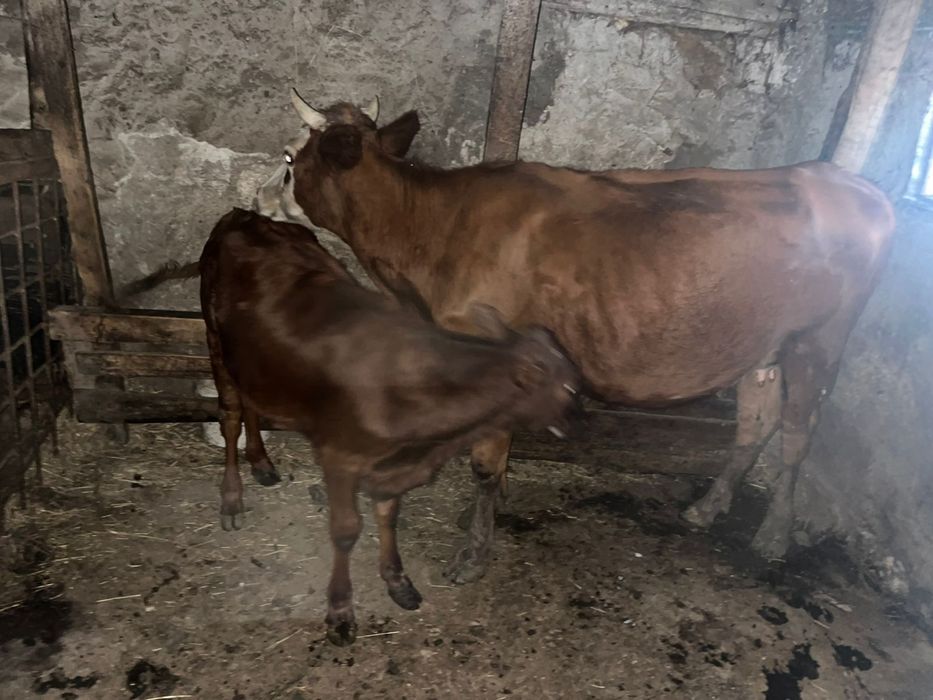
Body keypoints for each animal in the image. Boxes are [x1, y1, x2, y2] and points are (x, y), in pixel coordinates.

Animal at [199, 207, 580, 644]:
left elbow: (388, 515)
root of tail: (246, 215)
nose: (580, 418)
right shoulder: (340, 456)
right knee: (229, 415)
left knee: (251, 403)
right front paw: (340, 611)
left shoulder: (393, 463)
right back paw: (231, 498)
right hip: (214, 336)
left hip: (255, 361)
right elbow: (346, 530)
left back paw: (261, 462)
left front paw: (397, 581)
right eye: (572, 387)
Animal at [252, 90, 896, 584]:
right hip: (763, 347)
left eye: (288, 159)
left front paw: (473, 552)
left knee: (797, 435)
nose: (256, 198)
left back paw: (774, 536)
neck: (429, 234)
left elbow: (484, 463)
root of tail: (852, 185)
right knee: (755, 425)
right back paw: (708, 508)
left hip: (820, 341)